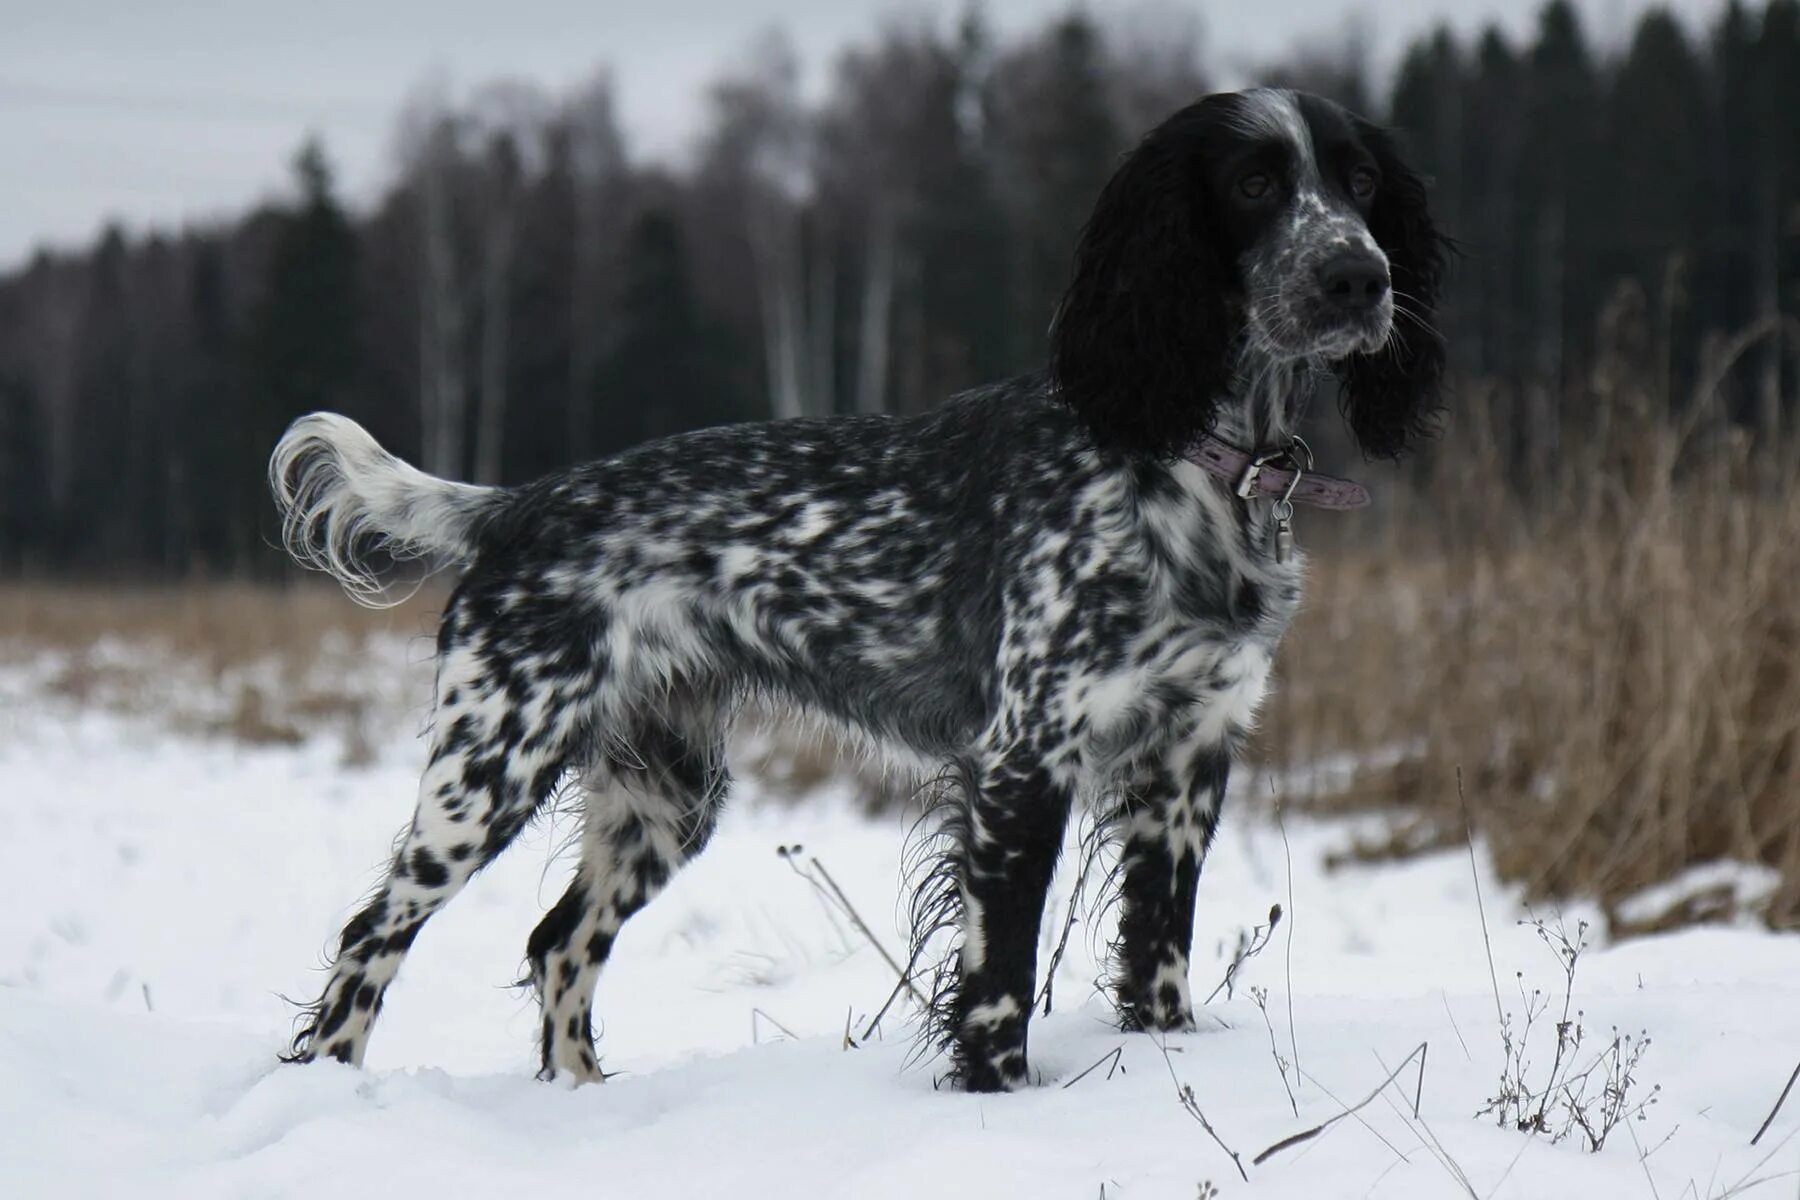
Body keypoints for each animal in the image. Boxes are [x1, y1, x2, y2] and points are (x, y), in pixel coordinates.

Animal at [270, 89, 1447, 1093]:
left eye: (1360, 182)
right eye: (1253, 184)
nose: (1360, 278)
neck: (1198, 461)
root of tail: (516, 505)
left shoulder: (1191, 757)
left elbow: (1159, 959)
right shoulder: (1025, 758)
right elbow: (996, 988)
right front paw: (998, 1098)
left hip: (666, 797)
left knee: (560, 943)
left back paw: (582, 1097)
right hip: (489, 769)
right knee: (371, 939)